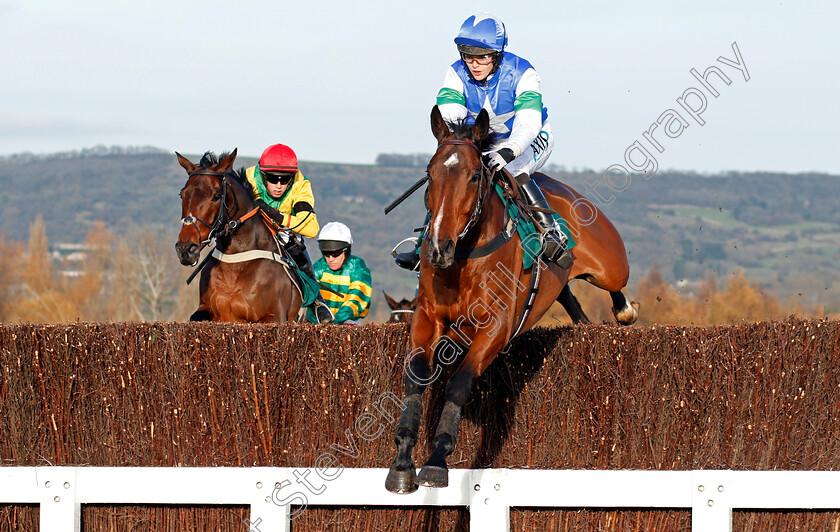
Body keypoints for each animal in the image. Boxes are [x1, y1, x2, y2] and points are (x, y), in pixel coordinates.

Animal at [174, 151, 302, 324]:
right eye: (182, 194)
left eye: (216, 196)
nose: (186, 249)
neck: (234, 264)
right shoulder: (207, 310)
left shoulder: (275, 317)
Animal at [384, 106, 632, 492]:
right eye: (429, 174)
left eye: (474, 176)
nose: (439, 247)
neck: (465, 257)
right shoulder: (427, 316)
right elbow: (416, 376)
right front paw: (402, 461)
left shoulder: (496, 327)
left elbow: (459, 382)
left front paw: (437, 460)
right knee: (567, 294)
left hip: (610, 265)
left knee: (616, 282)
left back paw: (623, 310)